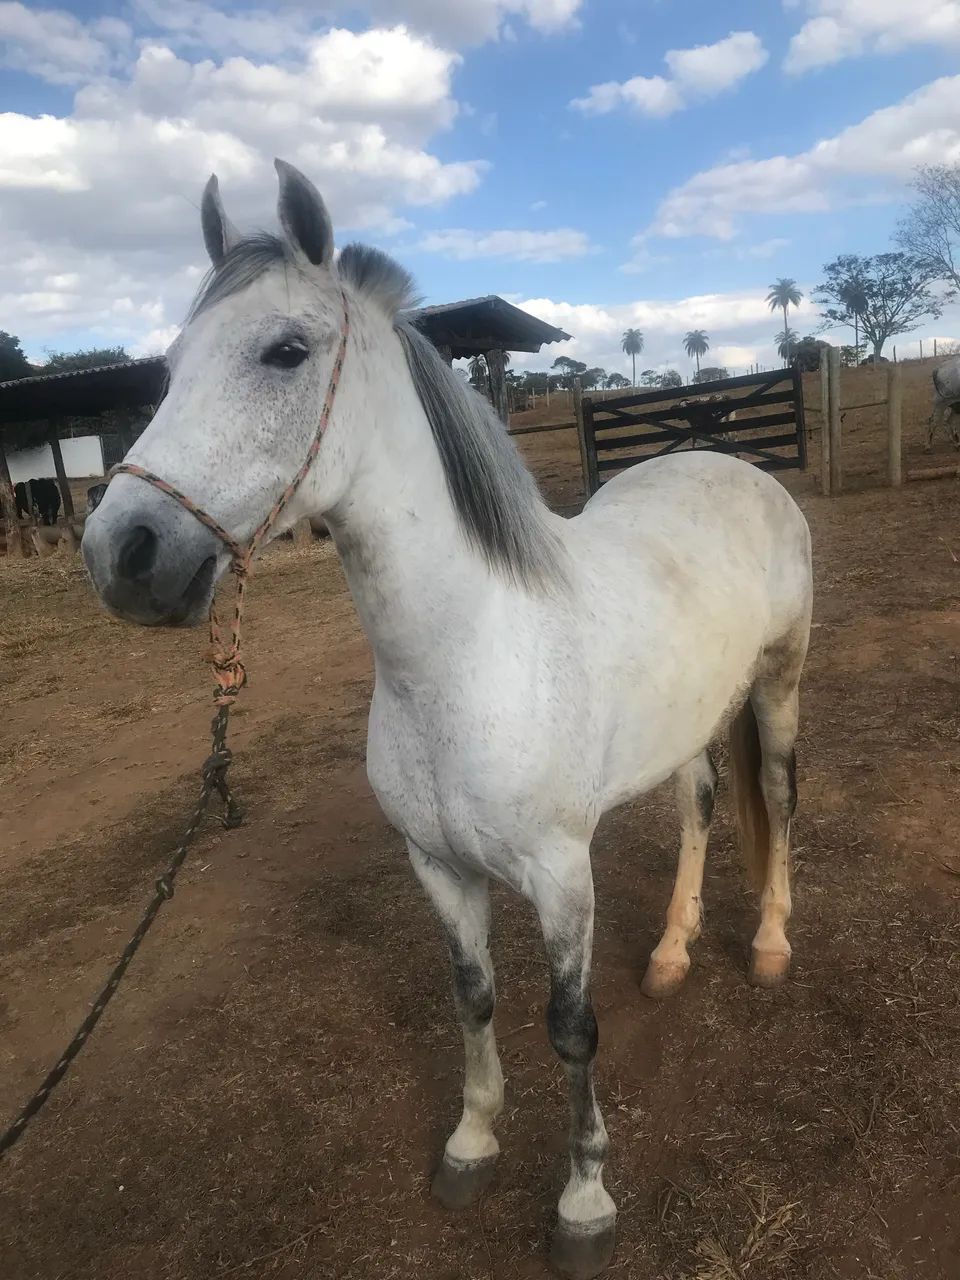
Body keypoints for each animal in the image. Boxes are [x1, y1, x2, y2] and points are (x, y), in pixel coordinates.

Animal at [82, 162, 813, 1279]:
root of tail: (731, 461)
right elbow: (472, 997)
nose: (123, 552)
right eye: (169, 367)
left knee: (773, 791)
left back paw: (769, 945)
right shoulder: (437, 865)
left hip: (778, 684)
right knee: (697, 808)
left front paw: (584, 1201)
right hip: (690, 722)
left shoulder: (561, 877)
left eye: (284, 350)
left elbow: (570, 1026)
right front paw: (471, 1145)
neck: (467, 657)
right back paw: (672, 954)